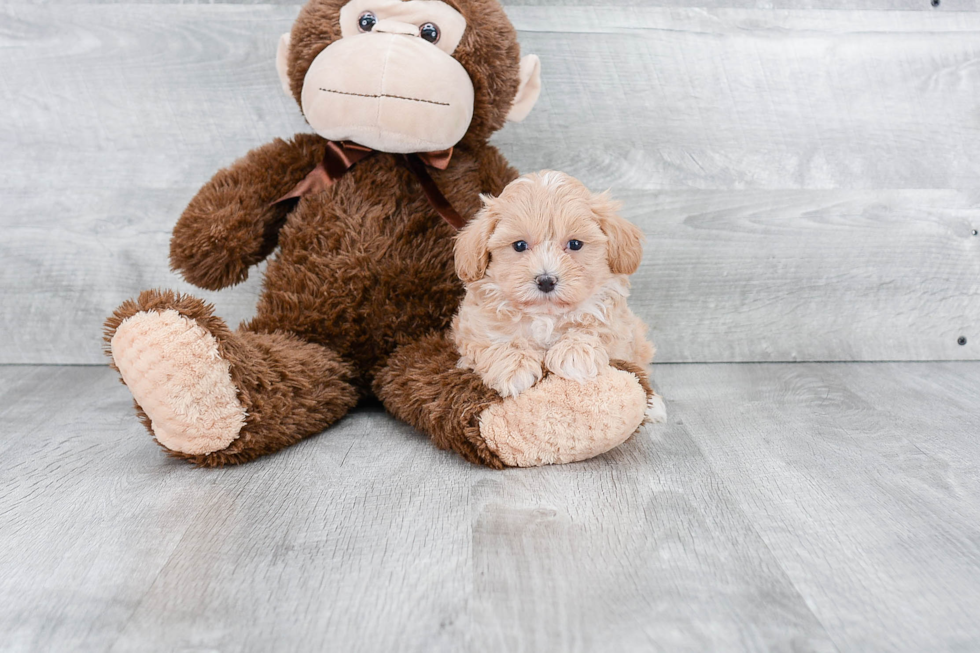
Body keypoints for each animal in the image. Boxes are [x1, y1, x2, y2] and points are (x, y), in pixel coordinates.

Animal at [452, 168, 660, 402]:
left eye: (575, 244)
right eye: (519, 245)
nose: (545, 281)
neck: (546, 315)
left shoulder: (618, 325)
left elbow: (596, 327)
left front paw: (575, 353)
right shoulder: (473, 327)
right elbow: (493, 341)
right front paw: (514, 366)